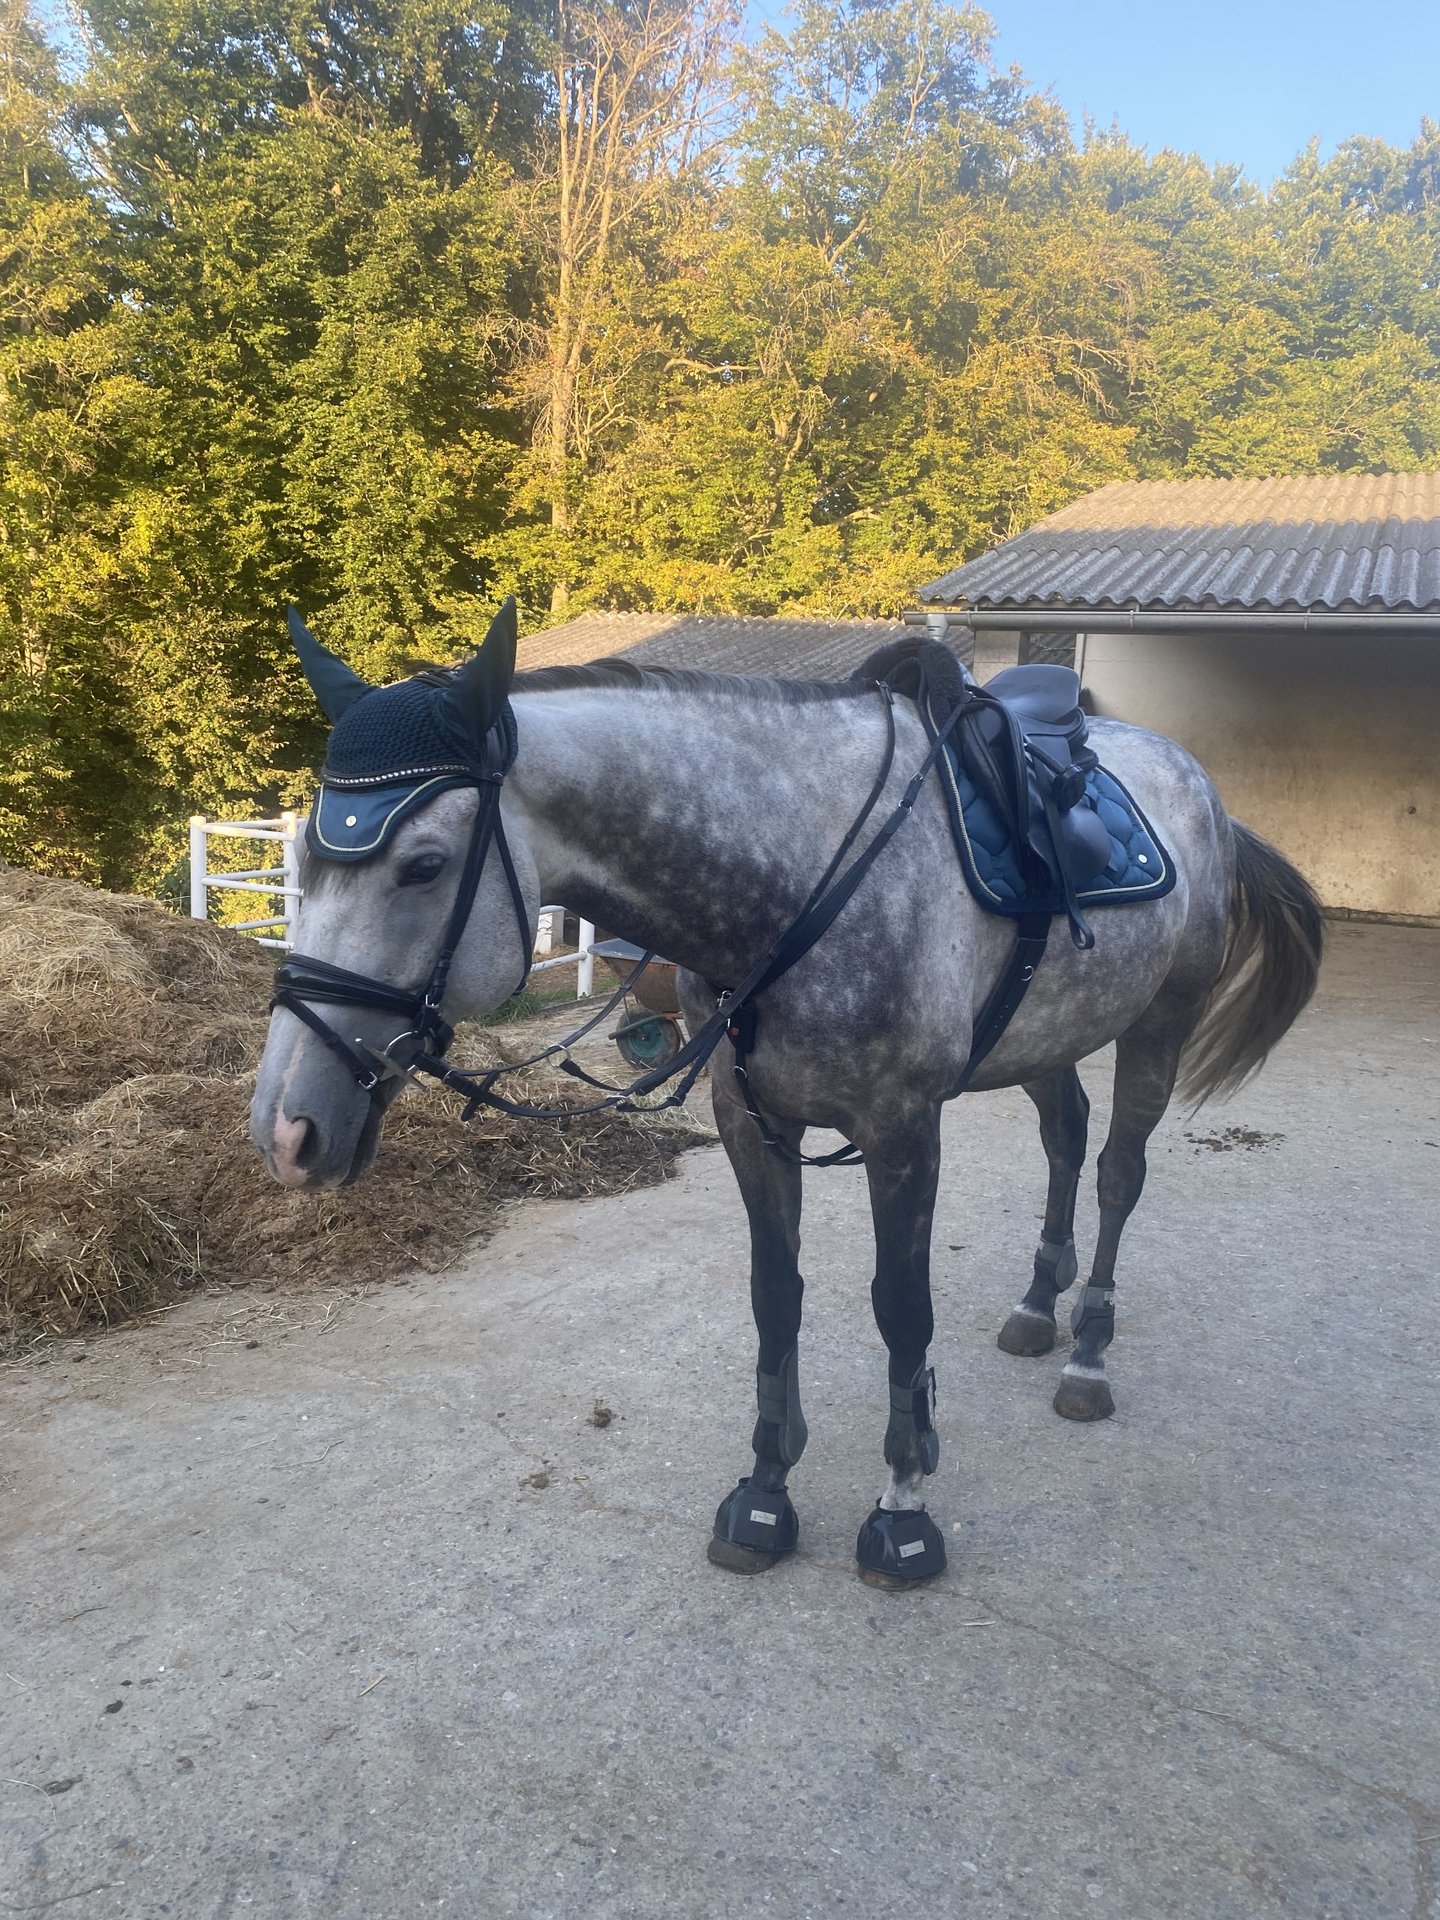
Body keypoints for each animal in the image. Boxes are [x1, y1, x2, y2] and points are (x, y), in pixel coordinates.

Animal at [251, 622, 1320, 1582]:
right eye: (301, 867)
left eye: (424, 866)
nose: (286, 1129)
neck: (793, 878)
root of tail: (1196, 785)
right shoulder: (751, 1125)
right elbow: (776, 1297)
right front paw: (765, 1493)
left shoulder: (903, 1132)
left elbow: (901, 1309)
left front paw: (903, 1511)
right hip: (1044, 1038)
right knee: (1065, 1138)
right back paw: (1033, 1307)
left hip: (1159, 1027)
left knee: (1116, 1174)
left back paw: (1087, 1354)